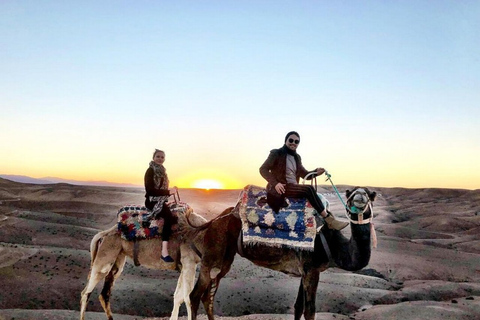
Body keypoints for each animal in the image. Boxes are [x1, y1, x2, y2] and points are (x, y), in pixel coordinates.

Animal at [80, 205, 208, 320]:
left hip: (117, 257)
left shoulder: (185, 265)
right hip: (105, 257)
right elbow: (189, 297)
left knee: (104, 293)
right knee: (86, 292)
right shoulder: (189, 262)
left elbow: (178, 296)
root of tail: (105, 233)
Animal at [186, 186, 376, 318]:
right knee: (194, 296)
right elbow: (310, 311)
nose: (360, 195)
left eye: (369, 193)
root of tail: (214, 220)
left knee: (207, 297)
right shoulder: (311, 269)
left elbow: (298, 307)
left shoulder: (305, 270)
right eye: (350, 194)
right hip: (213, 256)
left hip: (224, 259)